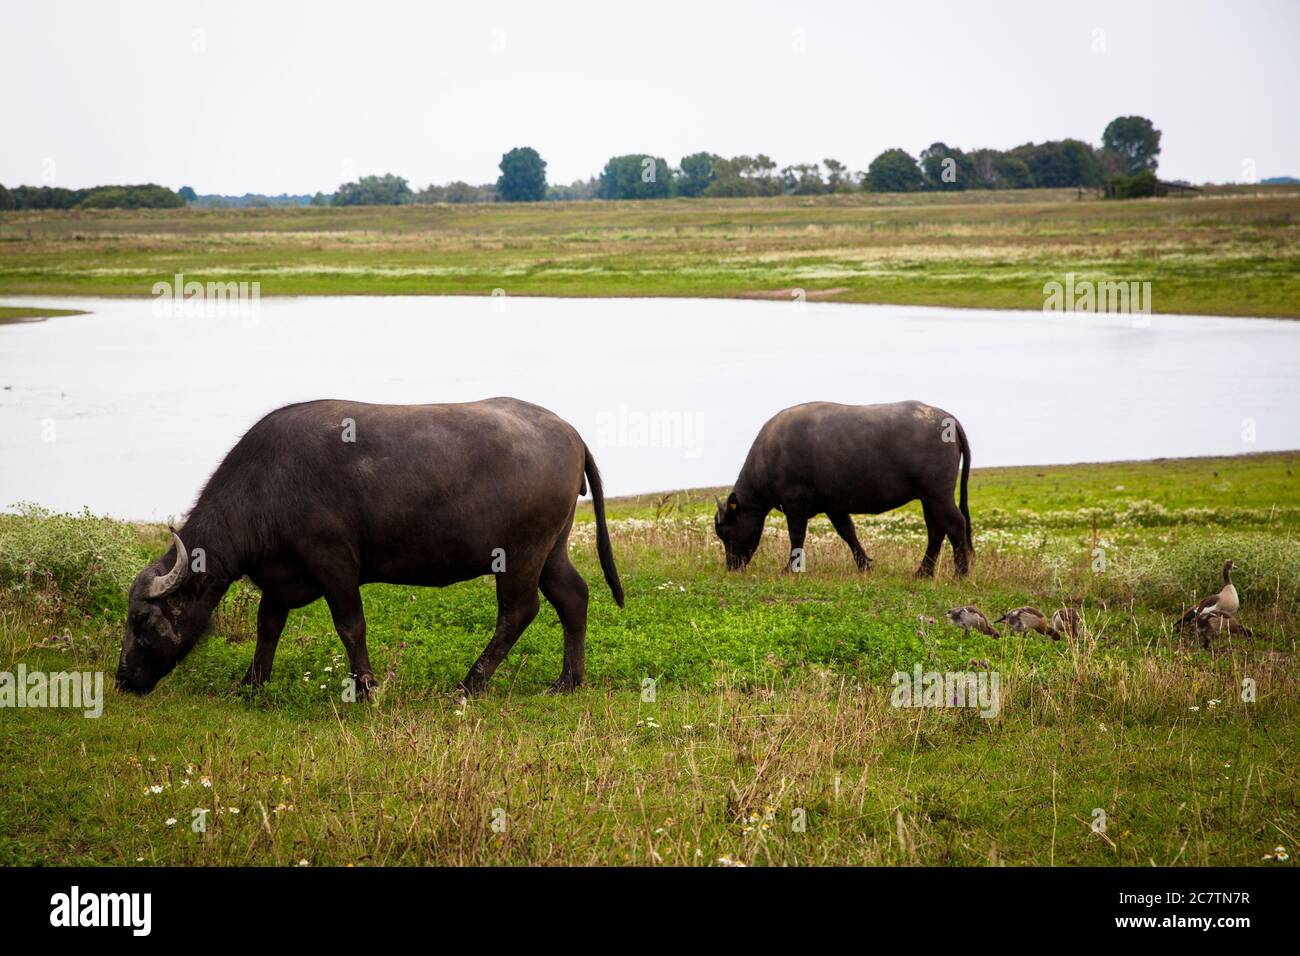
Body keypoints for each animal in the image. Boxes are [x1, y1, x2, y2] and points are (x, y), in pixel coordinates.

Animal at [114, 400, 621, 697]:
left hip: (520, 555)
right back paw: (568, 680)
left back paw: (470, 683)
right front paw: (252, 684)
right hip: (552, 550)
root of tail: (571, 433)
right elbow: (268, 626)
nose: (122, 680)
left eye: (143, 621)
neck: (268, 486)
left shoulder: (333, 562)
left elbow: (350, 626)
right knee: (573, 597)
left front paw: (365, 688)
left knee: (519, 611)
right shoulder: (282, 577)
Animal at [712, 398, 977, 572]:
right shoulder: (834, 506)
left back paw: (960, 573)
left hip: (938, 494)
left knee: (955, 524)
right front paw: (864, 565)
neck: (771, 454)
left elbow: (796, 536)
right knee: (936, 529)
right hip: (928, 498)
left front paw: (790, 568)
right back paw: (923, 572)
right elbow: (848, 532)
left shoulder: (794, 503)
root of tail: (947, 418)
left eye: (725, 533)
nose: (731, 566)